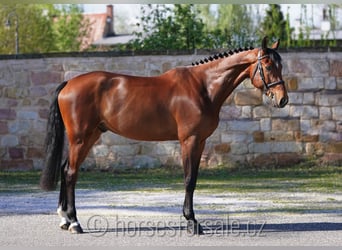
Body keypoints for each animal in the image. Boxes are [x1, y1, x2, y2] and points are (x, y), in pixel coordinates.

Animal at [40, 36, 288, 234]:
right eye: (267, 65)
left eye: (281, 65)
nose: (282, 99)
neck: (203, 87)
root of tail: (68, 84)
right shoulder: (189, 140)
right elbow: (189, 179)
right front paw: (192, 222)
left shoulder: (200, 141)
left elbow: (193, 178)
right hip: (80, 138)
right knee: (71, 173)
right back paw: (74, 222)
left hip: (90, 136)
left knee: (65, 169)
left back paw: (64, 219)